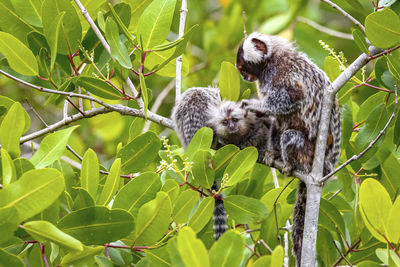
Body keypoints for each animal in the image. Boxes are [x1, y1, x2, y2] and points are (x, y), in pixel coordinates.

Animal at [236, 32, 342, 266]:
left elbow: (293, 97)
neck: (271, 62)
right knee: (279, 125)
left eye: (242, 66)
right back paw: (274, 153)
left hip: (307, 153)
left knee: (289, 135)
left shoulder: (284, 73)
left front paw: (256, 105)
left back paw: (288, 164)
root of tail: (324, 169)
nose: (244, 76)